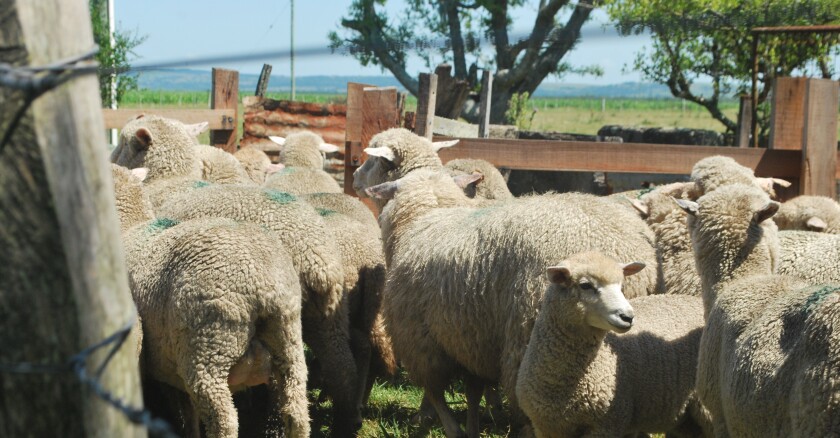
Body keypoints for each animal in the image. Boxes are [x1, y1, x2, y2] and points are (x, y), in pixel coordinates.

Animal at [110, 164, 308, 438]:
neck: (129, 227)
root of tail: (261, 282)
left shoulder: (165, 369)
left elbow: (183, 416)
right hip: (289, 341)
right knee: (297, 410)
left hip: (208, 348)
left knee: (223, 420)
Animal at [156, 183, 362, 432]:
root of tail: (316, 257)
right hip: (326, 315)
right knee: (341, 367)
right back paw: (345, 423)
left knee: (278, 385)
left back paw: (273, 426)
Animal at [370, 169, 660, 438]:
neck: (428, 216)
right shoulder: (472, 337)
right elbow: (473, 391)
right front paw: (472, 426)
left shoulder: (419, 337)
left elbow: (435, 391)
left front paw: (440, 423)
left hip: (530, 336)